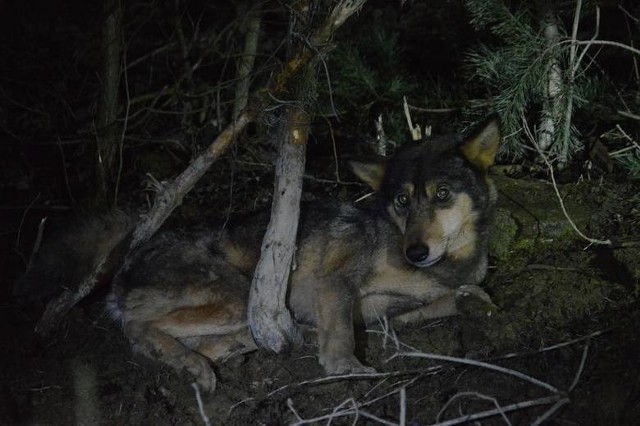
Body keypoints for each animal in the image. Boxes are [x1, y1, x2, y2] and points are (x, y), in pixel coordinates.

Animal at [17, 116, 502, 392]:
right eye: (402, 201)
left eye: (442, 194)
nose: (416, 250)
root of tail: (131, 252)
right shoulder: (336, 282)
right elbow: (341, 336)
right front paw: (344, 367)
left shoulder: (395, 313)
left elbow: (462, 298)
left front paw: (475, 302)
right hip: (236, 296)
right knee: (137, 330)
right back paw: (194, 367)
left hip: (237, 313)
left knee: (200, 341)